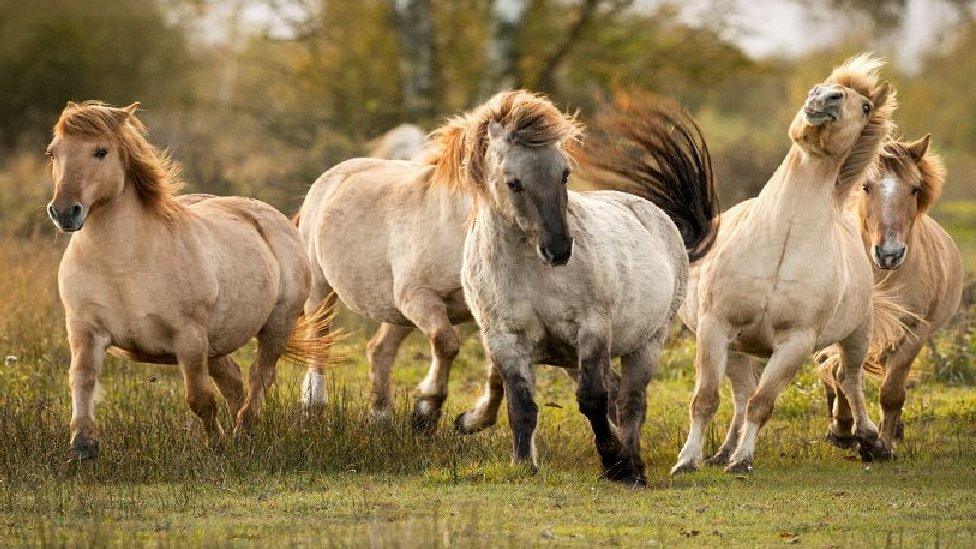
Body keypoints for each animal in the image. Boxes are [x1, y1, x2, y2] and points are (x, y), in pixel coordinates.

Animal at [47, 99, 332, 458]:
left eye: (101, 151)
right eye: (53, 152)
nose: (64, 212)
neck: (123, 264)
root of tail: (274, 218)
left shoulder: (189, 337)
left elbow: (199, 398)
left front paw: (217, 445)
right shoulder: (84, 330)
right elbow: (82, 381)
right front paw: (83, 446)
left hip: (275, 326)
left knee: (259, 376)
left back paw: (243, 432)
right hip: (218, 343)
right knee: (234, 380)